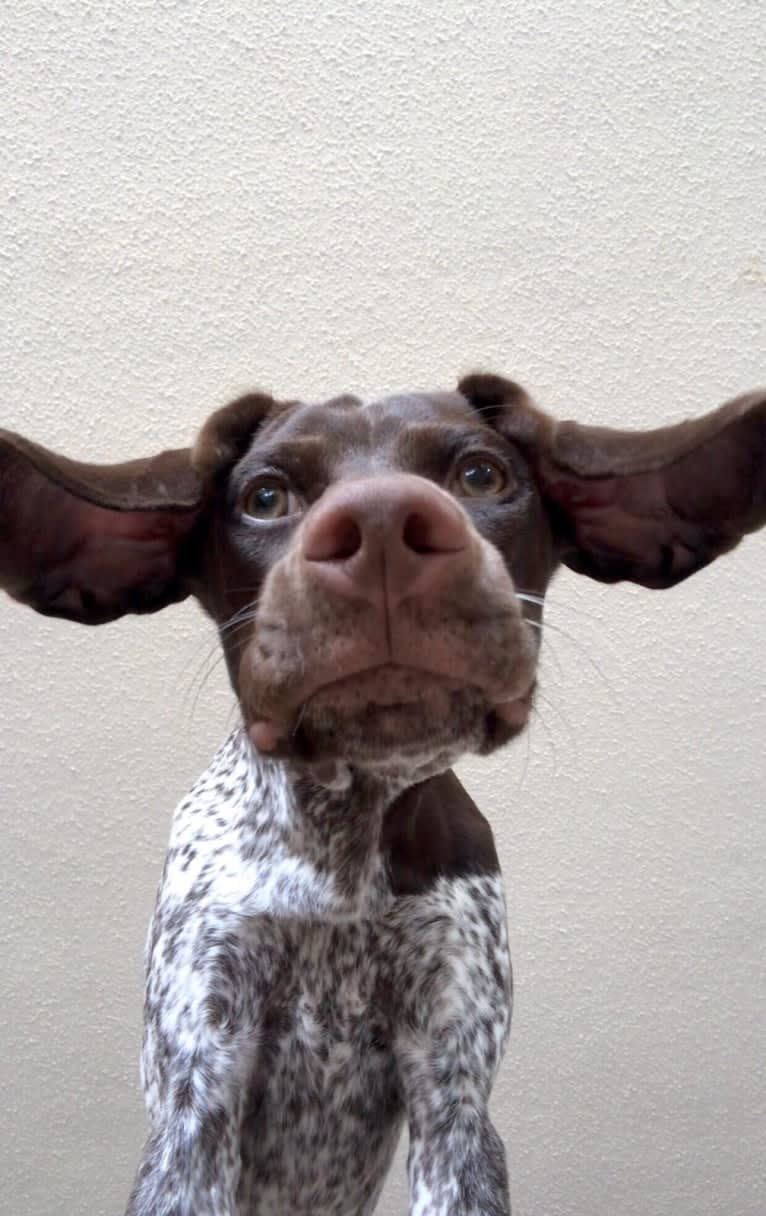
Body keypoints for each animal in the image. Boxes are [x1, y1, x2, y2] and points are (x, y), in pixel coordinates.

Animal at [0, 372, 763, 1216]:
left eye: (480, 476)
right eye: (265, 497)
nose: (384, 525)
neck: (341, 842)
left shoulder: (453, 1093)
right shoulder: (197, 1091)